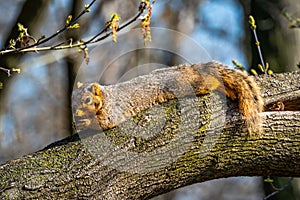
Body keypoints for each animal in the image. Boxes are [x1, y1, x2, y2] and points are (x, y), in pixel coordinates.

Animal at [72, 61, 262, 136]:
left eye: (87, 100)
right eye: (71, 100)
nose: (75, 113)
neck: (105, 97)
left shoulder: (113, 108)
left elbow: (108, 122)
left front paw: (85, 123)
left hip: (185, 85)